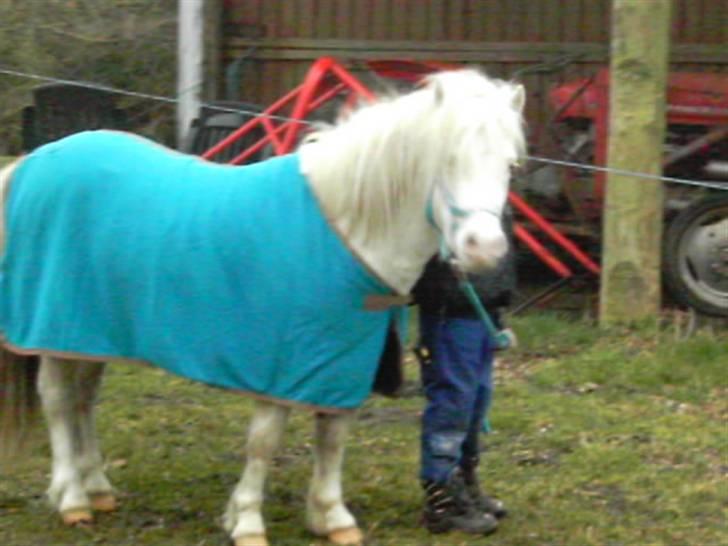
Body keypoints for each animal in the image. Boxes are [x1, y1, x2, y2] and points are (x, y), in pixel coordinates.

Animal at [0, 68, 524, 544]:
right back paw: (72, 499)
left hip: (90, 333)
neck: (343, 229)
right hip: (52, 329)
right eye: (447, 158)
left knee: (84, 401)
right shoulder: (281, 365)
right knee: (57, 401)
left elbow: (332, 440)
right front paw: (248, 521)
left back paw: (98, 488)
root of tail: (30, 163)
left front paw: (331, 518)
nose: (484, 250)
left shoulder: (340, 365)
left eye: (509, 165)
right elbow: (263, 444)